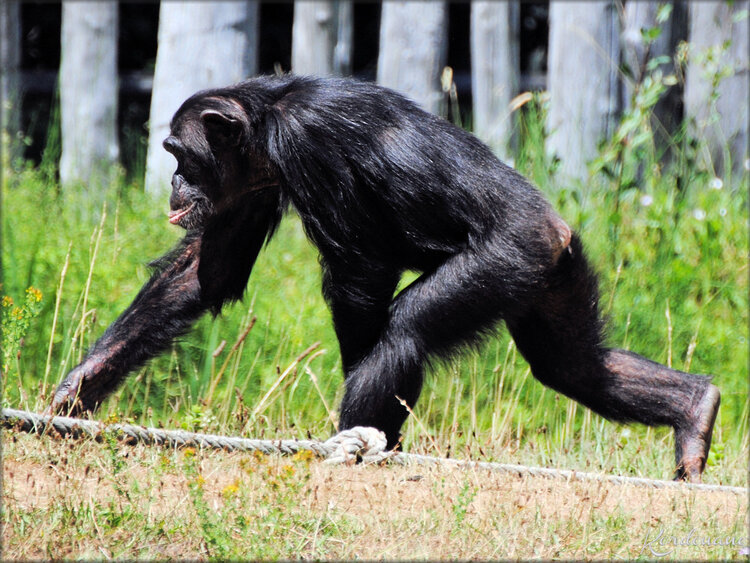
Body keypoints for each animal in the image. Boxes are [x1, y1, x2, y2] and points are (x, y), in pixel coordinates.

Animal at [48, 74, 724, 480]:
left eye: (178, 154)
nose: (173, 183)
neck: (267, 123)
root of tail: (554, 229)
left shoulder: (311, 146)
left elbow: (360, 271)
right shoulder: (248, 185)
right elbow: (205, 273)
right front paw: (76, 394)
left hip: (510, 256)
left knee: (405, 331)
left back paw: (359, 444)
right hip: (554, 275)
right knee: (573, 365)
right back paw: (694, 411)